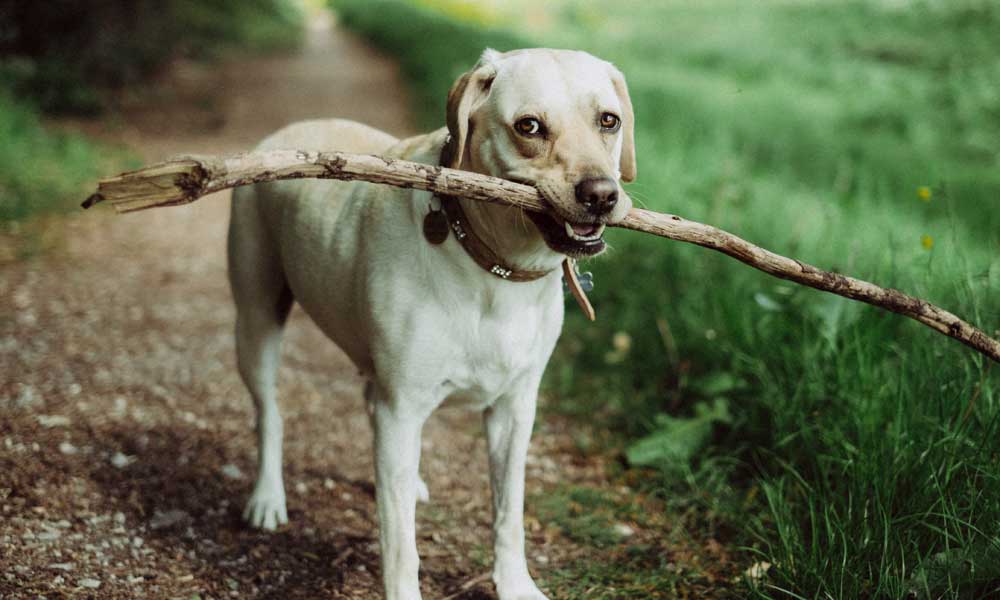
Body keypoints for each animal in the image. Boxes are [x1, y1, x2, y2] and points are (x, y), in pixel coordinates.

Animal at [227, 48, 632, 600]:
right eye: (529, 126)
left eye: (608, 121)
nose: (601, 195)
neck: (492, 268)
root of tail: (283, 133)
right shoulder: (403, 407)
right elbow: (400, 546)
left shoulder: (514, 409)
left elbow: (508, 513)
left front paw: (515, 583)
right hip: (257, 321)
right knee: (270, 413)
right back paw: (268, 497)